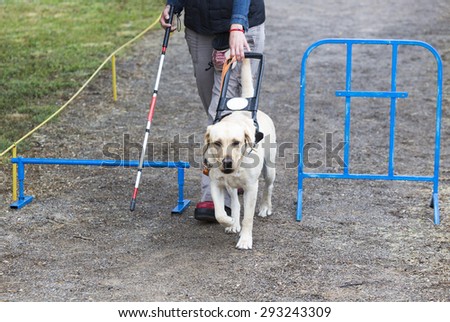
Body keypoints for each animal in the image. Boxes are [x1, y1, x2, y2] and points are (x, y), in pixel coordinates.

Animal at [203, 58, 274, 249]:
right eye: (217, 143)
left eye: (236, 142)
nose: (227, 163)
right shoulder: (216, 184)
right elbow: (220, 213)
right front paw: (229, 221)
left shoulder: (251, 188)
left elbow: (248, 218)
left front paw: (245, 240)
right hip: (230, 185)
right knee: (235, 201)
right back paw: (234, 222)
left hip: (270, 169)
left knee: (268, 187)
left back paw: (265, 207)